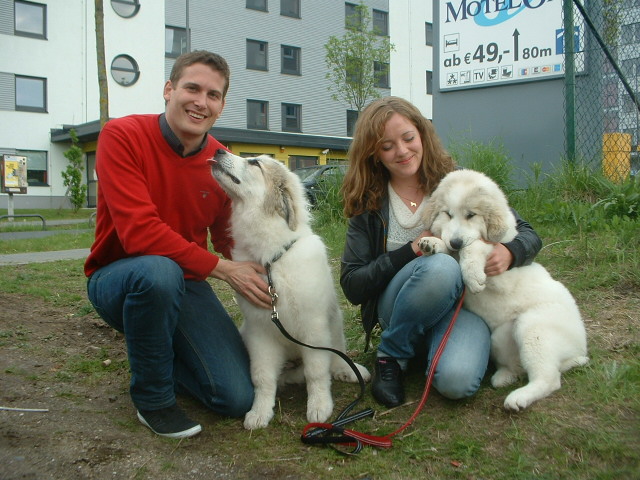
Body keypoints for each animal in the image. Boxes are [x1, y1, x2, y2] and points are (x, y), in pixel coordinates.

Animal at [210, 148, 370, 430]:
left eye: (254, 162)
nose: (218, 150)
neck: (273, 262)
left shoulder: (313, 328)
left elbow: (317, 372)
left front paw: (319, 407)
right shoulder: (260, 332)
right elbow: (262, 377)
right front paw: (260, 412)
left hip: (334, 323)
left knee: (335, 356)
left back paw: (348, 371)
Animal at [418, 171, 588, 410]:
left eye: (471, 215)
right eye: (448, 214)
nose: (456, 241)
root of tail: (579, 350)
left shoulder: (500, 271)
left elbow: (477, 245)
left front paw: (473, 275)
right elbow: (451, 251)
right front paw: (432, 243)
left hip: (533, 326)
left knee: (549, 379)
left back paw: (518, 398)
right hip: (499, 338)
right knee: (521, 369)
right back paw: (504, 377)